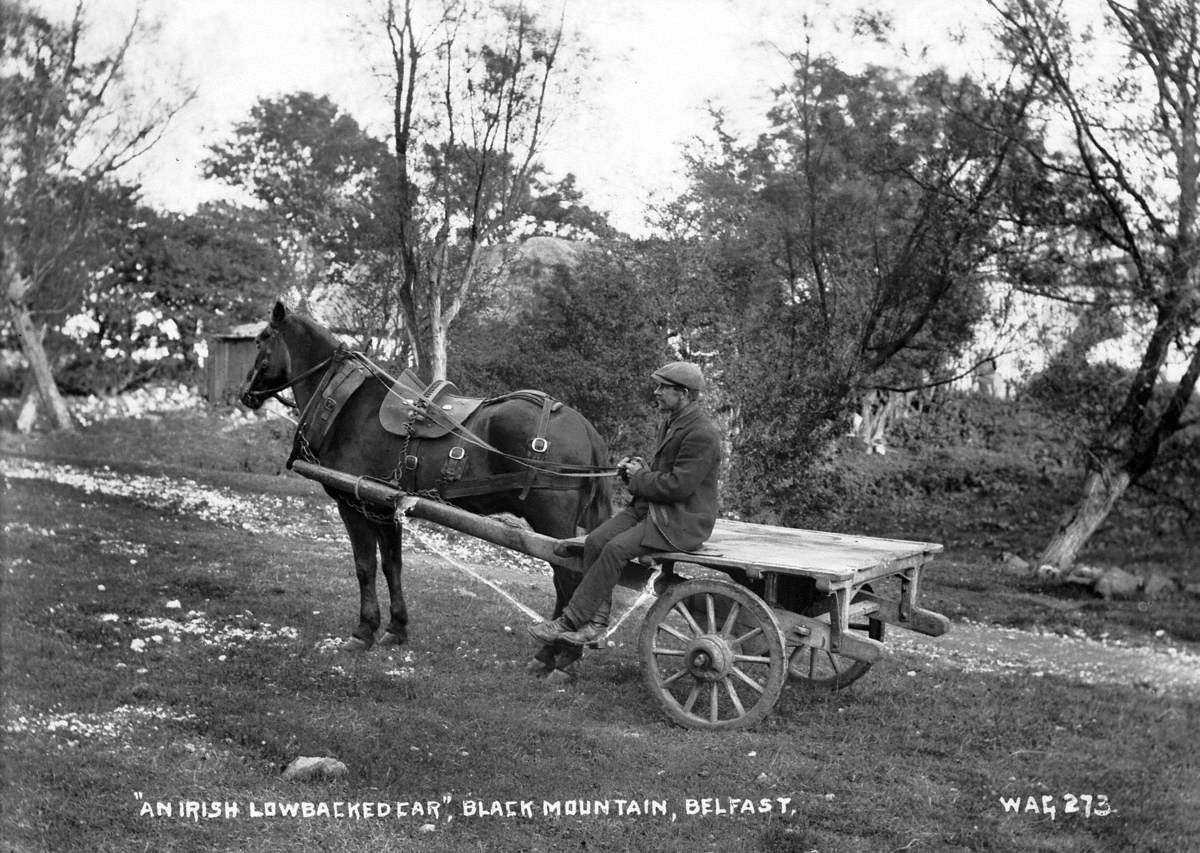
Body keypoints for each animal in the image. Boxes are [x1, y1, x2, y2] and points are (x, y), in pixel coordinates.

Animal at [236, 303, 609, 671]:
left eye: (260, 340)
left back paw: (555, 655)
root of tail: (586, 429)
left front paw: (363, 631)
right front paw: (395, 629)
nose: (244, 394)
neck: (346, 403)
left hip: (552, 525)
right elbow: (392, 565)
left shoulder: (353, 503)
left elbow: (364, 567)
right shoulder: (384, 507)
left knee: (569, 580)